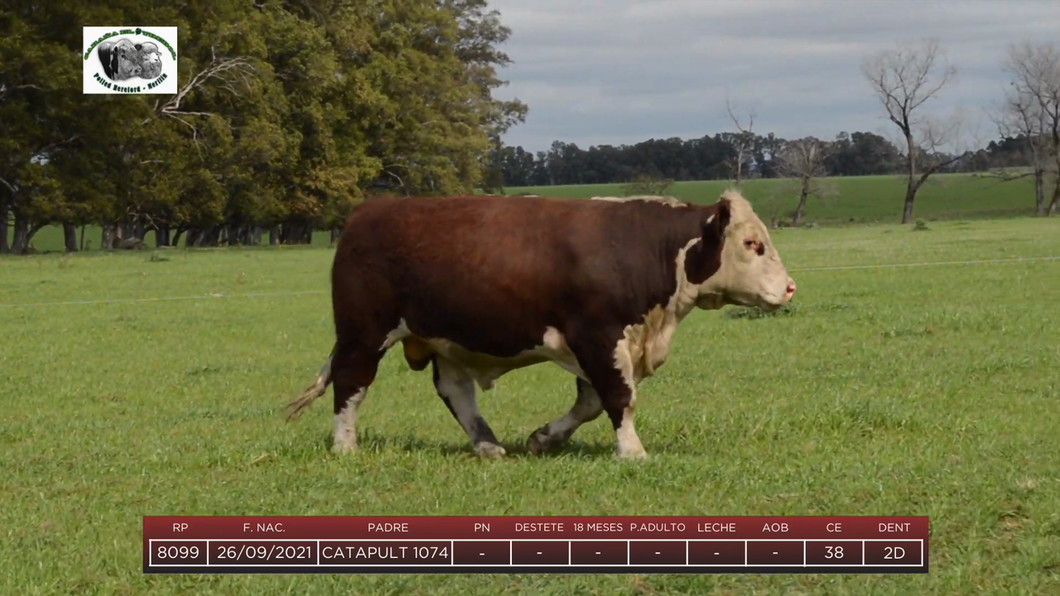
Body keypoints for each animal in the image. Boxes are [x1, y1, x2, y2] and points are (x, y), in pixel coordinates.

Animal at [281, 187, 797, 456]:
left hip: (445, 338)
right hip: (363, 333)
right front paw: (632, 452)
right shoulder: (598, 336)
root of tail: (369, 210)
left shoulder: (606, 346)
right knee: (351, 384)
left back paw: (488, 445)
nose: (790, 287)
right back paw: (345, 446)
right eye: (752, 244)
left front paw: (544, 438)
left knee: (455, 391)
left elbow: (591, 403)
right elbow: (619, 398)